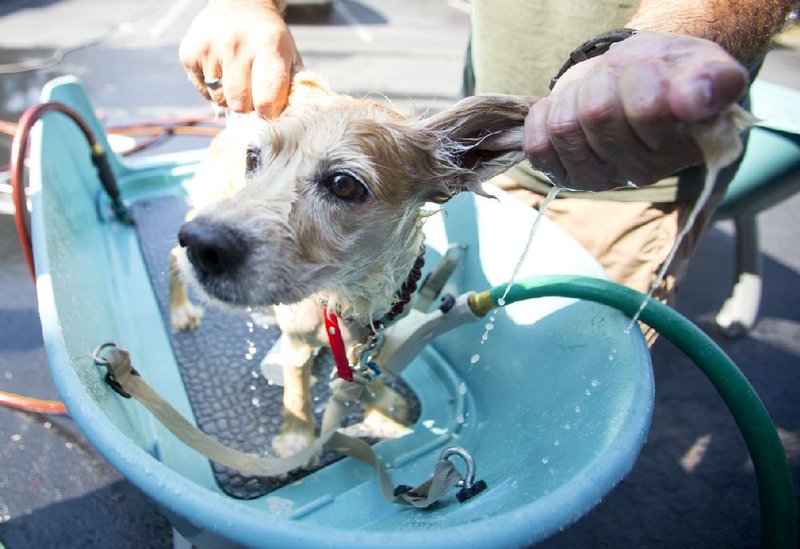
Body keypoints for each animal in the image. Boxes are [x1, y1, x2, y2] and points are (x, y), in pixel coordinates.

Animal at [171, 70, 536, 460]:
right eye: (253, 159)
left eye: (343, 184)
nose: (204, 244)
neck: (350, 296)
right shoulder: (298, 342)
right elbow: (297, 393)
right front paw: (297, 439)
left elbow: (363, 377)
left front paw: (385, 410)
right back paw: (181, 311)